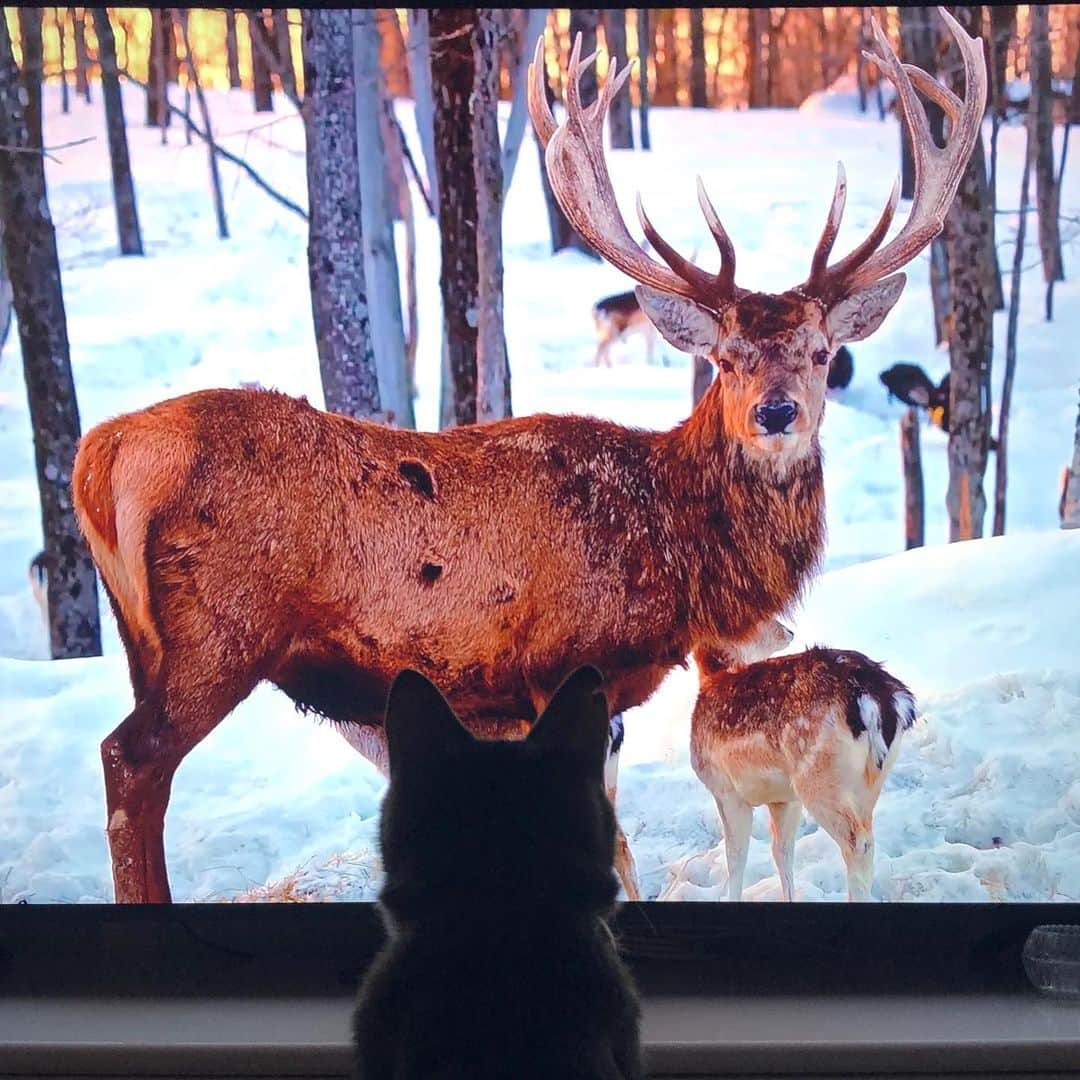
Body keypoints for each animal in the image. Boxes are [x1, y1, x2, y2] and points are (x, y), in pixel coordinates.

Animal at [69, 10, 989, 902]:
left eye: (821, 352)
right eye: (726, 359)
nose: (776, 412)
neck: (672, 546)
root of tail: (102, 452)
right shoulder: (563, 660)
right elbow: (611, 842)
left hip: (147, 643)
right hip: (218, 631)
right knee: (130, 762)